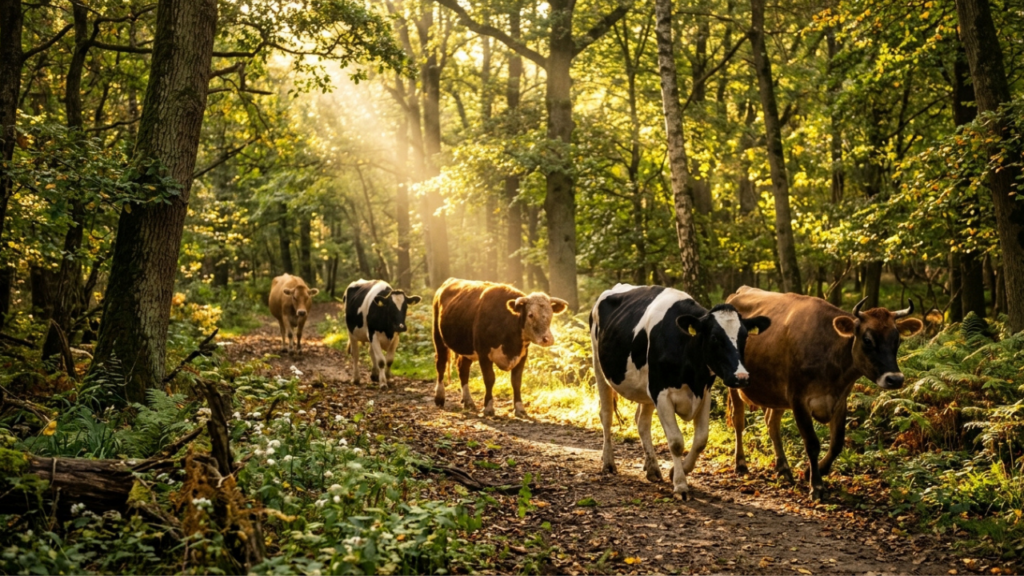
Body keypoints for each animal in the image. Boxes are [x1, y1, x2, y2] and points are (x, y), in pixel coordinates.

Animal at [432, 278, 568, 418]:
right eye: (531, 315)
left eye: (551, 314)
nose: (547, 339)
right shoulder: (483, 353)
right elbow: (489, 379)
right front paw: (488, 408)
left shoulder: (522, 355)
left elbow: (516, 381)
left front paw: (520, 408)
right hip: (438, 337)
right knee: (441, 364)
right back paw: (440, 398)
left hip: (466, 348)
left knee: (463, 369)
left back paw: (468, 401)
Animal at [590, 284, 771, 499]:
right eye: (714, 338)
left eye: (744, 337)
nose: (741, 377)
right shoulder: (661, 393)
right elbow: (676, 442)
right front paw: (680, 484)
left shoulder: (703, 393)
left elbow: (701, 440)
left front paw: (676, 471)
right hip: (599, 367)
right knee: (606, 415)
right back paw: (608, 463)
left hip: (646, 388)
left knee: (642, 422)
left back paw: (652, 468)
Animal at [726, 286, 924, 500]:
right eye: (867, 339)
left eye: (897, 339)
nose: (895, 379)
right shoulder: (798, 400)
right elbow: (812, 443)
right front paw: (817, 485)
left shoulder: (839, 401)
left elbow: (837, 443)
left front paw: (811, 472)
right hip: (734, 384)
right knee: (739, 421)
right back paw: (741, 464)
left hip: (776, 392)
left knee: (772, 423)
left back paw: (783, 468)